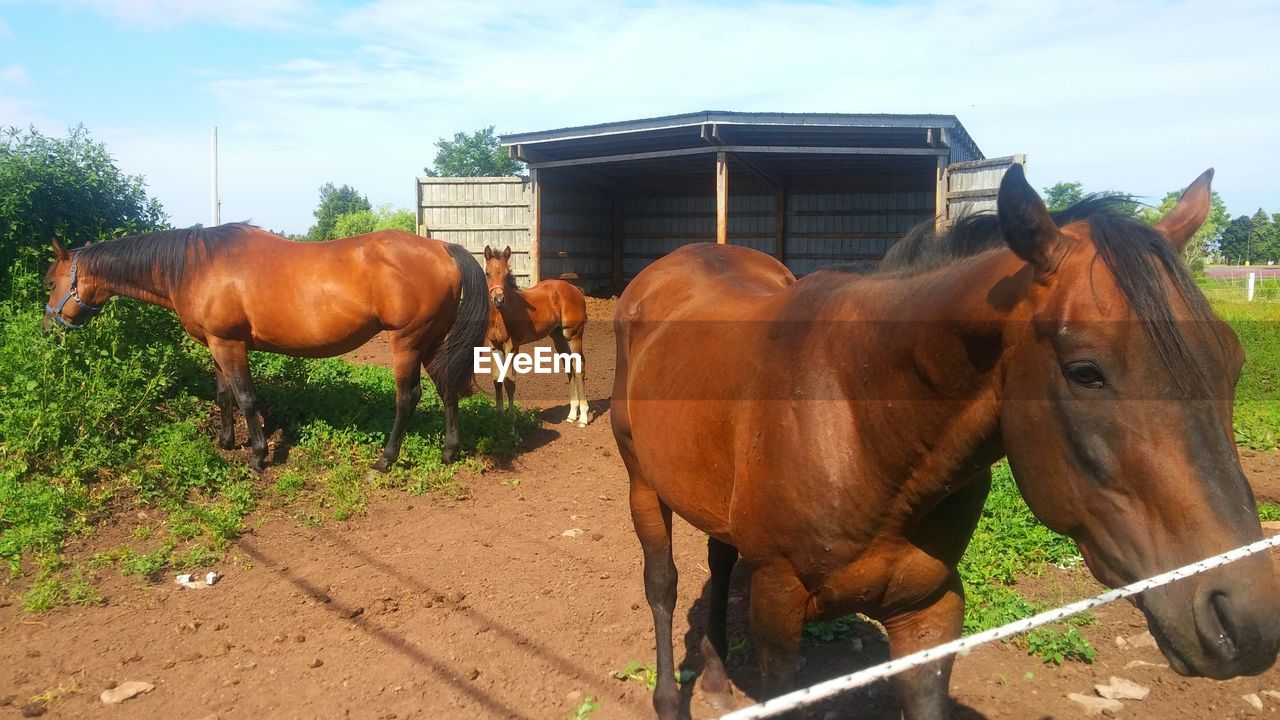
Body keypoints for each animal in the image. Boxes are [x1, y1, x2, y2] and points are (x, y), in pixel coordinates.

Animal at [45, 224, 483, 471]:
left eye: (51, 280)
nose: (50, 324)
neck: (195, 267)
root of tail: (442, 249)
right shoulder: (217, 344)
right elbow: (224, 395)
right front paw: (226, 442)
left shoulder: (229, 344)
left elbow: (246, 398)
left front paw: (257, 456)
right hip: (432, 340)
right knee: (447, 388)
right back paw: (450, 450)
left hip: (406, 341)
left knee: (407, 397)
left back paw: (385, 459)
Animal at [481, 244, 591, 422]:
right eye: (487, 273)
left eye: (507, 273)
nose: (498, 299)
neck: (500, 315)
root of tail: (575, 289)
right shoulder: (494, 346)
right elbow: (497, 380)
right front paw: (498, 417)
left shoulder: (512, 346)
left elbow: (509, 382)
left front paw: (511, 419)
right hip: (559, 337)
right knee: (569, 366)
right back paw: (572, 414)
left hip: (573, 334)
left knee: (579, 366)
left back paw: (582, 417)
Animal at [609, 165, 1280, 712]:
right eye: (1086, 370)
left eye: (1233, 362)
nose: (1246, 617)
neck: (861, 421)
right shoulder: (778, 608)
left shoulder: (929, 610)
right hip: (642, 482)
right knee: (663, 583)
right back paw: (670, 696)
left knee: (720, 561)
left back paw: (717, 680)